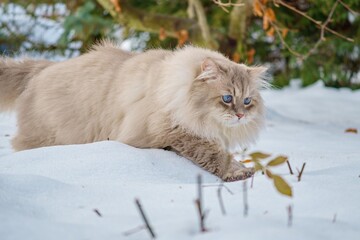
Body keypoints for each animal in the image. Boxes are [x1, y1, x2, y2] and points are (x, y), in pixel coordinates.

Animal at [0, 41, 268, 182]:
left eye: (247, 101)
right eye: (227, 98)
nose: (241, 116)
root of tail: (42, 68)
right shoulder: (170, 130)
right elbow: (212, 153)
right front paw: (238, 172)